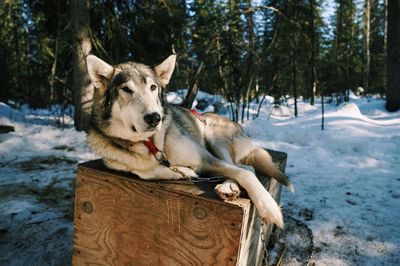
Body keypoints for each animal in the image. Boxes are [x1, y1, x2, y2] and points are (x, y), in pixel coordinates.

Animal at [86, 54, 292, 229]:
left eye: (153, 87)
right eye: (126, 89)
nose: (155, 118)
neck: (151, 144)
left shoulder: (207, 159)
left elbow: (245, 174)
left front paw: (269, 206)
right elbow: (146, 172)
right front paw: (183, 171)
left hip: (214, 137)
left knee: (244, 167)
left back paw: (228, 186)